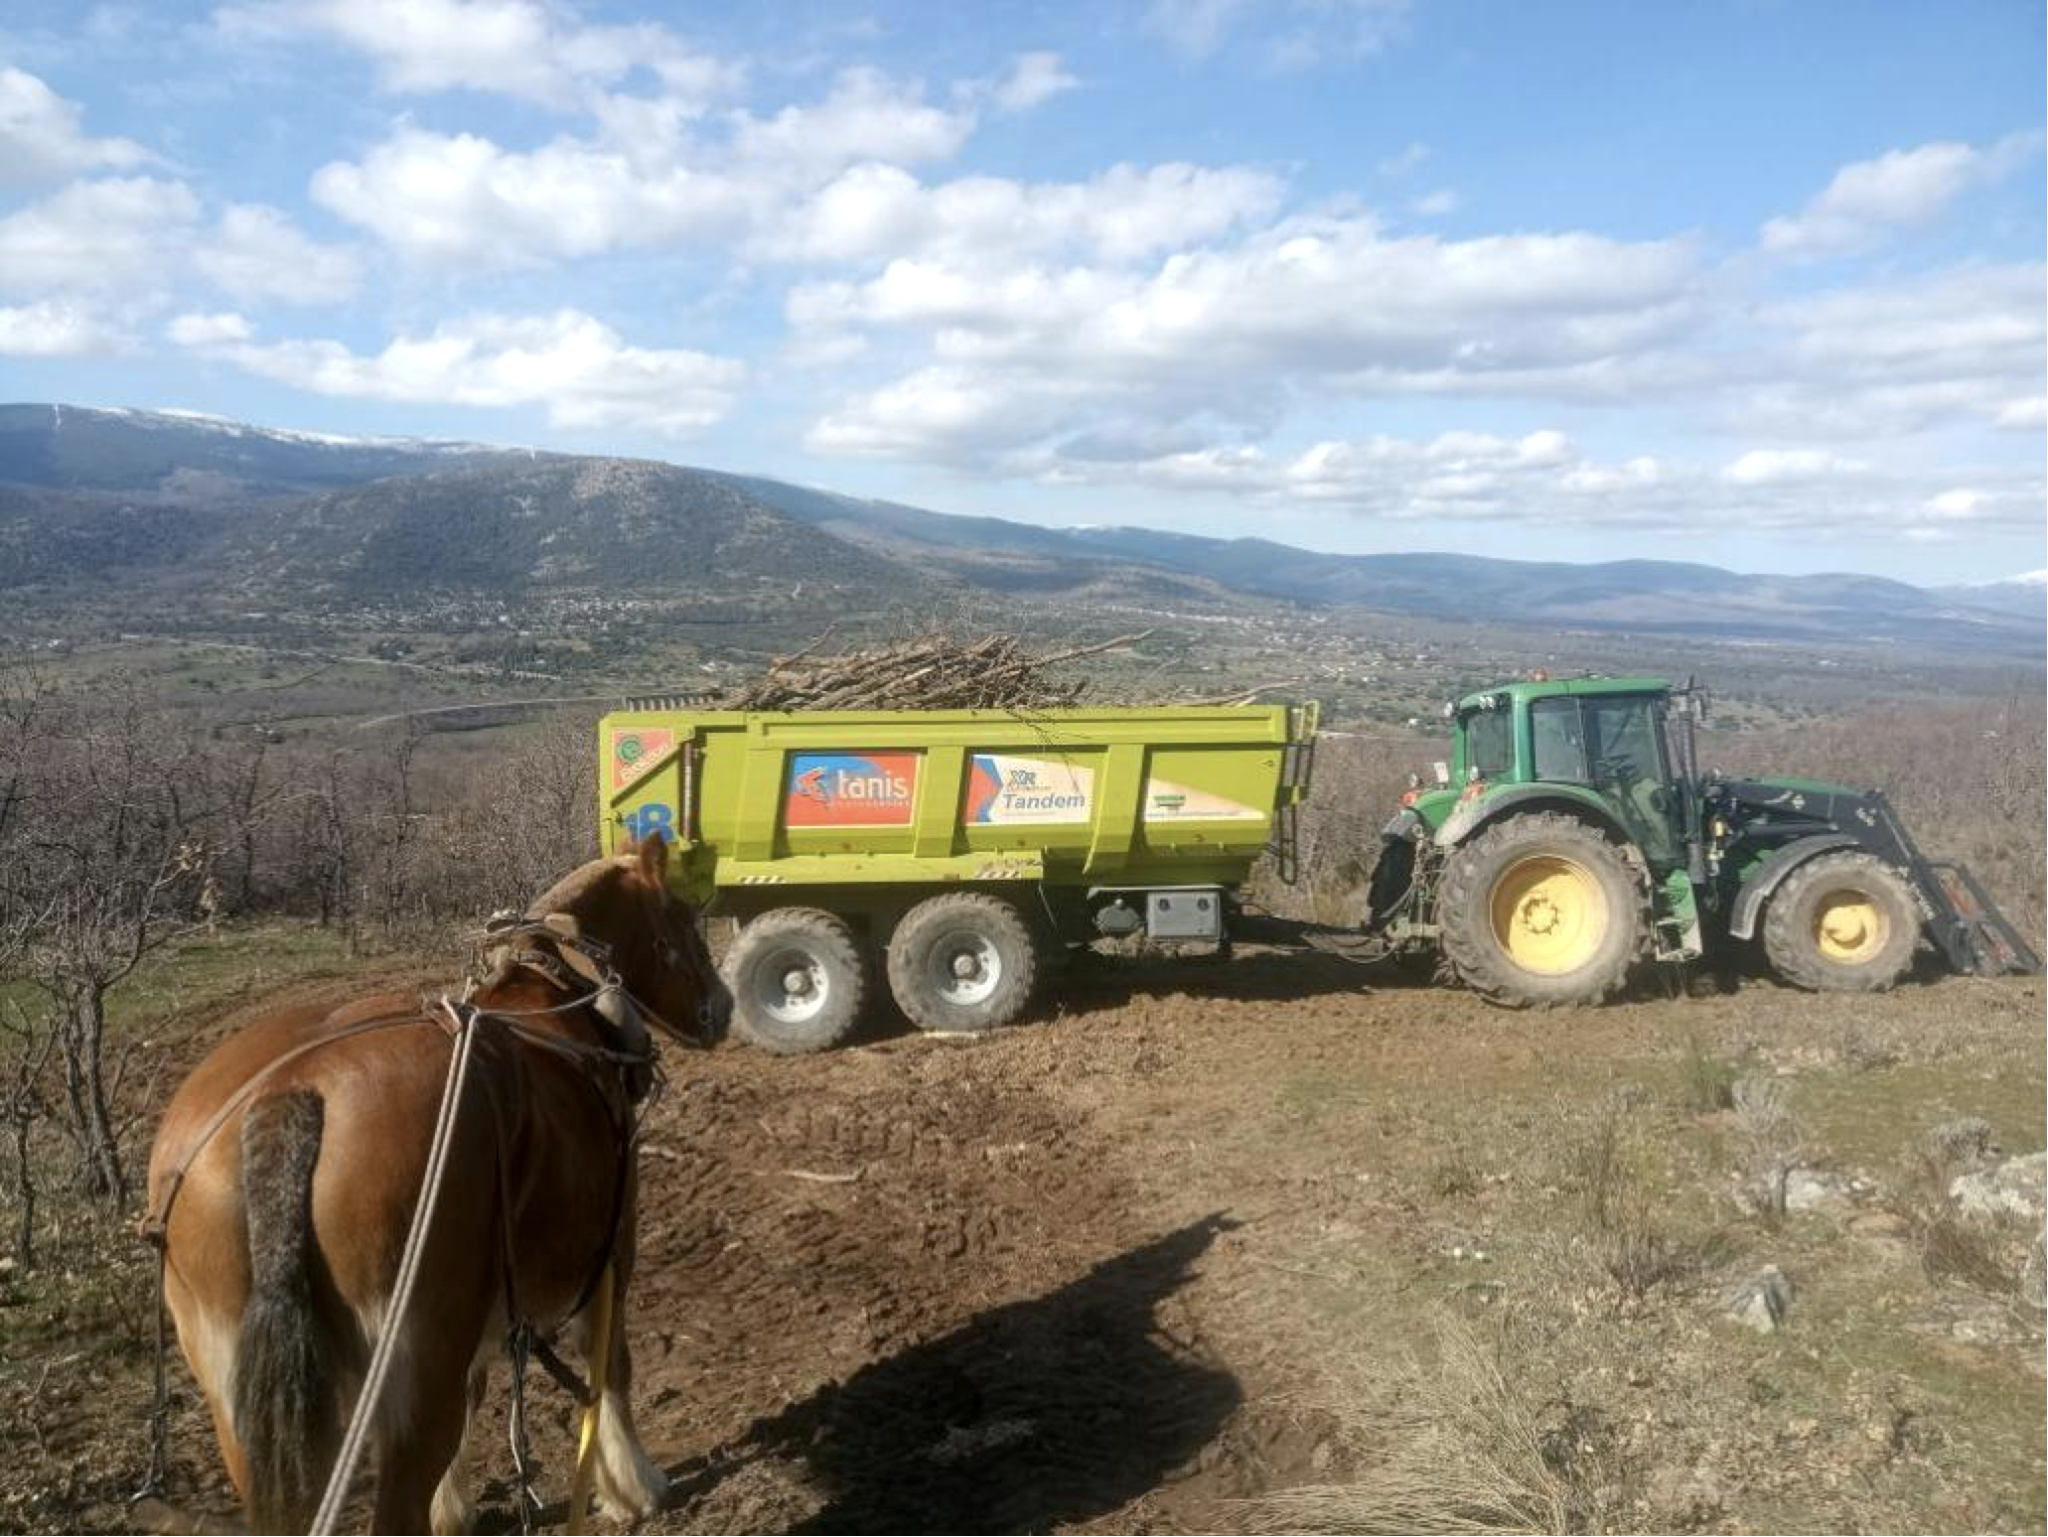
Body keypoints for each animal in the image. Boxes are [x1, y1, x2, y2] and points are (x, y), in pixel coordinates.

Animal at [143, 836, 731, 1536]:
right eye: (685, 920)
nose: (723, 1006)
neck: (556, 990)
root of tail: (289, 1098)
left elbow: (479, 1391)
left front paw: (452, 1507)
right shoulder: (614, 1247)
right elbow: (610, 1362)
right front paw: (633, 1486)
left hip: (239, 1392)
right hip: (414, 1362)